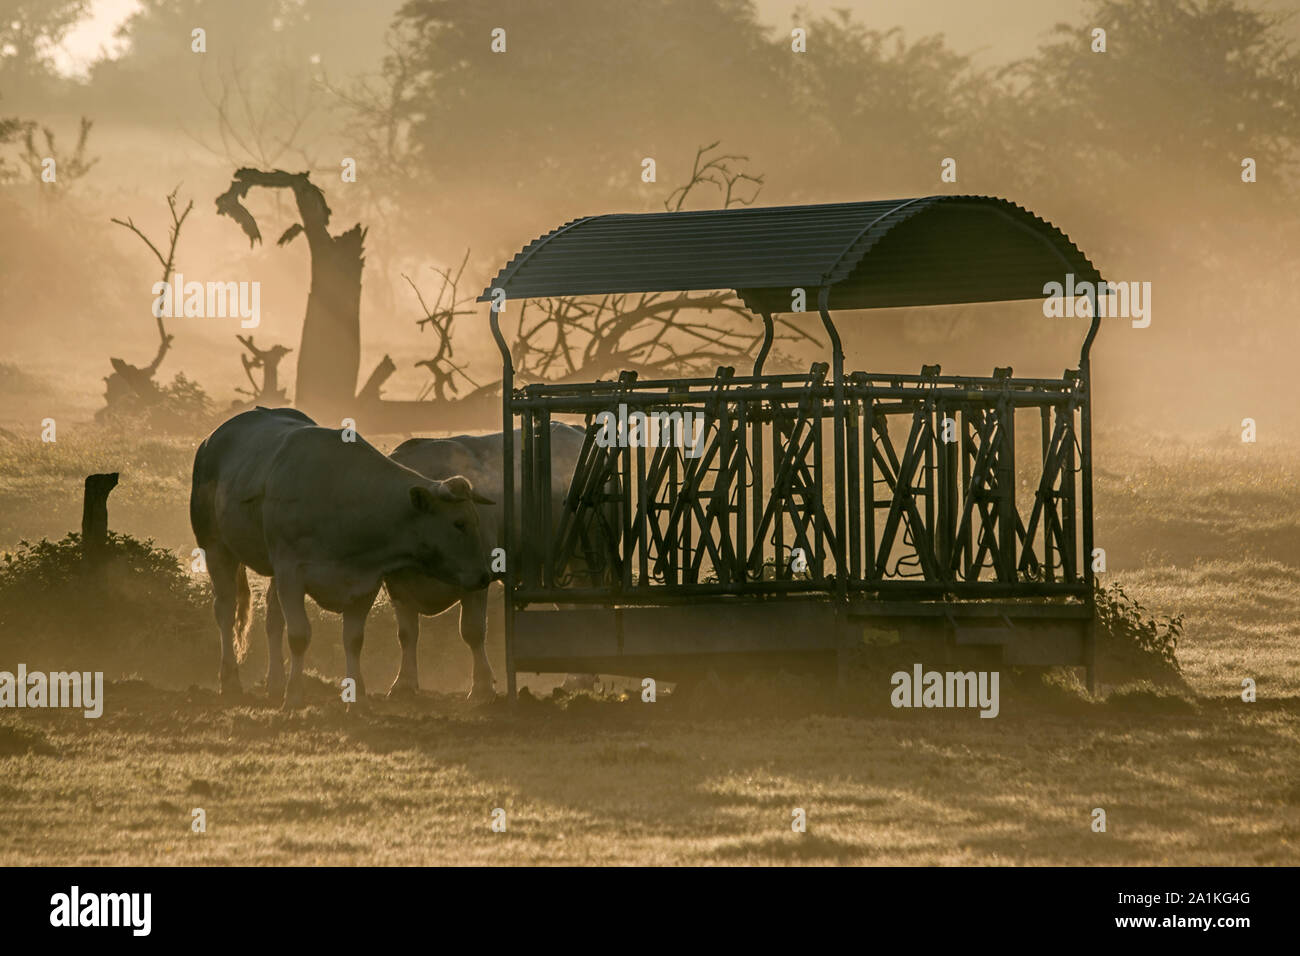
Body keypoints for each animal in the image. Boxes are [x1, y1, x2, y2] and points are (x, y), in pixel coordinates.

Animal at [189, 408, 493, 707]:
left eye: (478, 520)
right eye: (459, 523)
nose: (483, 575)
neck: (343, 497)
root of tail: (210, 440)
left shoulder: (364, 580)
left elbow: (354, 640)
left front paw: (357, 700)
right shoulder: (291, 572)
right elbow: (299, 635)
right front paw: (295, 696)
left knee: (273, 619)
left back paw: (275, 684)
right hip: (216, 548)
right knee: (226, 610)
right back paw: (230, 682)